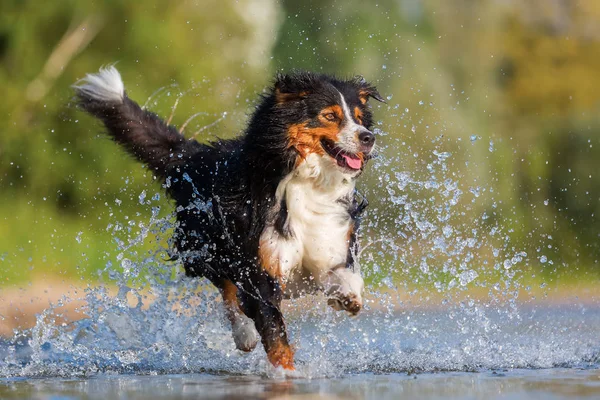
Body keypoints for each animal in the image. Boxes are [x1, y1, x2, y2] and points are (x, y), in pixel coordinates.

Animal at [74, 65, 384, 368]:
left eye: (359, 119)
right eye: (330, 115)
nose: (368, 138)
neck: (307, 181)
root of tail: (194, 156)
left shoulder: (328, 243)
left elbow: (347, 276)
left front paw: (347, 297)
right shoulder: (259, 270)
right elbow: (275, 337)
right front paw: (285, 374)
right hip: (207, 249)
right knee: (228, 292)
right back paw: (243, 334)